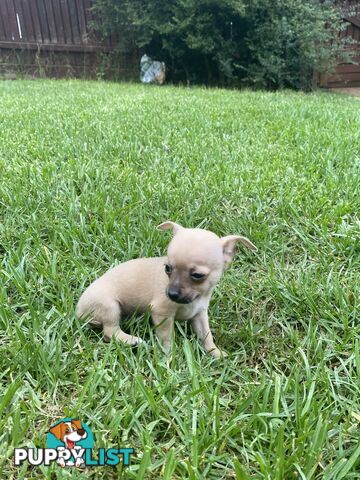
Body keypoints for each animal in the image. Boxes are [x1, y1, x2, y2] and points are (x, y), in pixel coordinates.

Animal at [76, 220, 256, 356]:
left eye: (197, 275)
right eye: (167, 268)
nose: (172, 294)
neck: (195, 299)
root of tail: (78, 311)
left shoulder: (199, 314)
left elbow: (206, 336)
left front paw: (215, 353)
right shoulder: (162, 313)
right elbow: (167, 337)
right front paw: (168, 356)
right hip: (110, 307)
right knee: (109, 331)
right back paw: (132, 340)